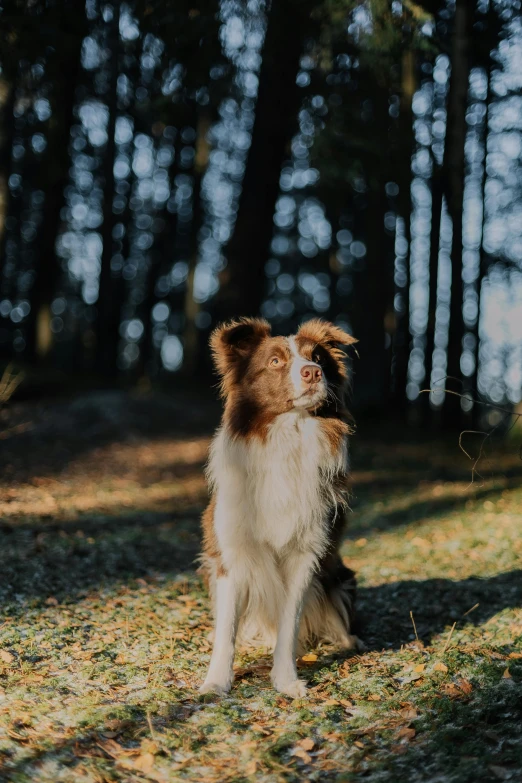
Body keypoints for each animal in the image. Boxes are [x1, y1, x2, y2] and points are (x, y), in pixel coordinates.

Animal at [197, 318, 360, 700]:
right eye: (274, 362)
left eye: (318, 357)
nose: (313, 372)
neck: (288, 436)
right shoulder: (230, 555)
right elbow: (227, 630)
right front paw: (217, 682)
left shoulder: (306, 555)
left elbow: (290, 623)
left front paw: (285, 681)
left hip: (337, 574)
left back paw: (349, 640)